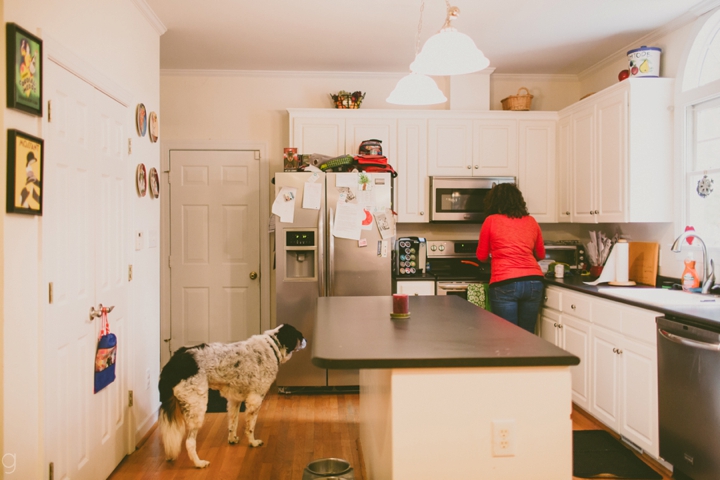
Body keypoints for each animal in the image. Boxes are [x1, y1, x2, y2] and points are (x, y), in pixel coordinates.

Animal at [159, 324, 306, 466]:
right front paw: (253, 442)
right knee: (189, 442)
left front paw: (232, 439)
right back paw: (199, 463)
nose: (306, 340)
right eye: (299, 335)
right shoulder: (255, 400)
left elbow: (233, 423)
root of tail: (175, 360)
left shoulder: (234, 400)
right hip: (197, 407)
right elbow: (250, 427)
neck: (272, 346)